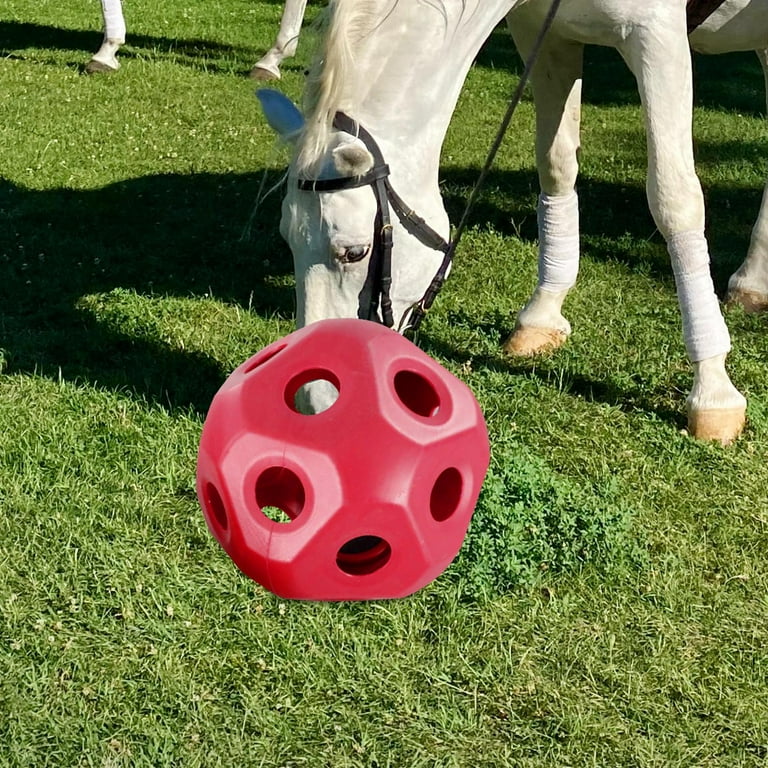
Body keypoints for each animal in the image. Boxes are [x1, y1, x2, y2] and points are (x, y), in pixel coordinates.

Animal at [260, 0, 768, 444]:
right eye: (286, 241)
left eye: (354, 253)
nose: (311, 400)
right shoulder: (545, 36)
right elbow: (556, 163)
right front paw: (542, 313)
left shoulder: (657, 36)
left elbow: (674, 198)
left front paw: (713, 388)